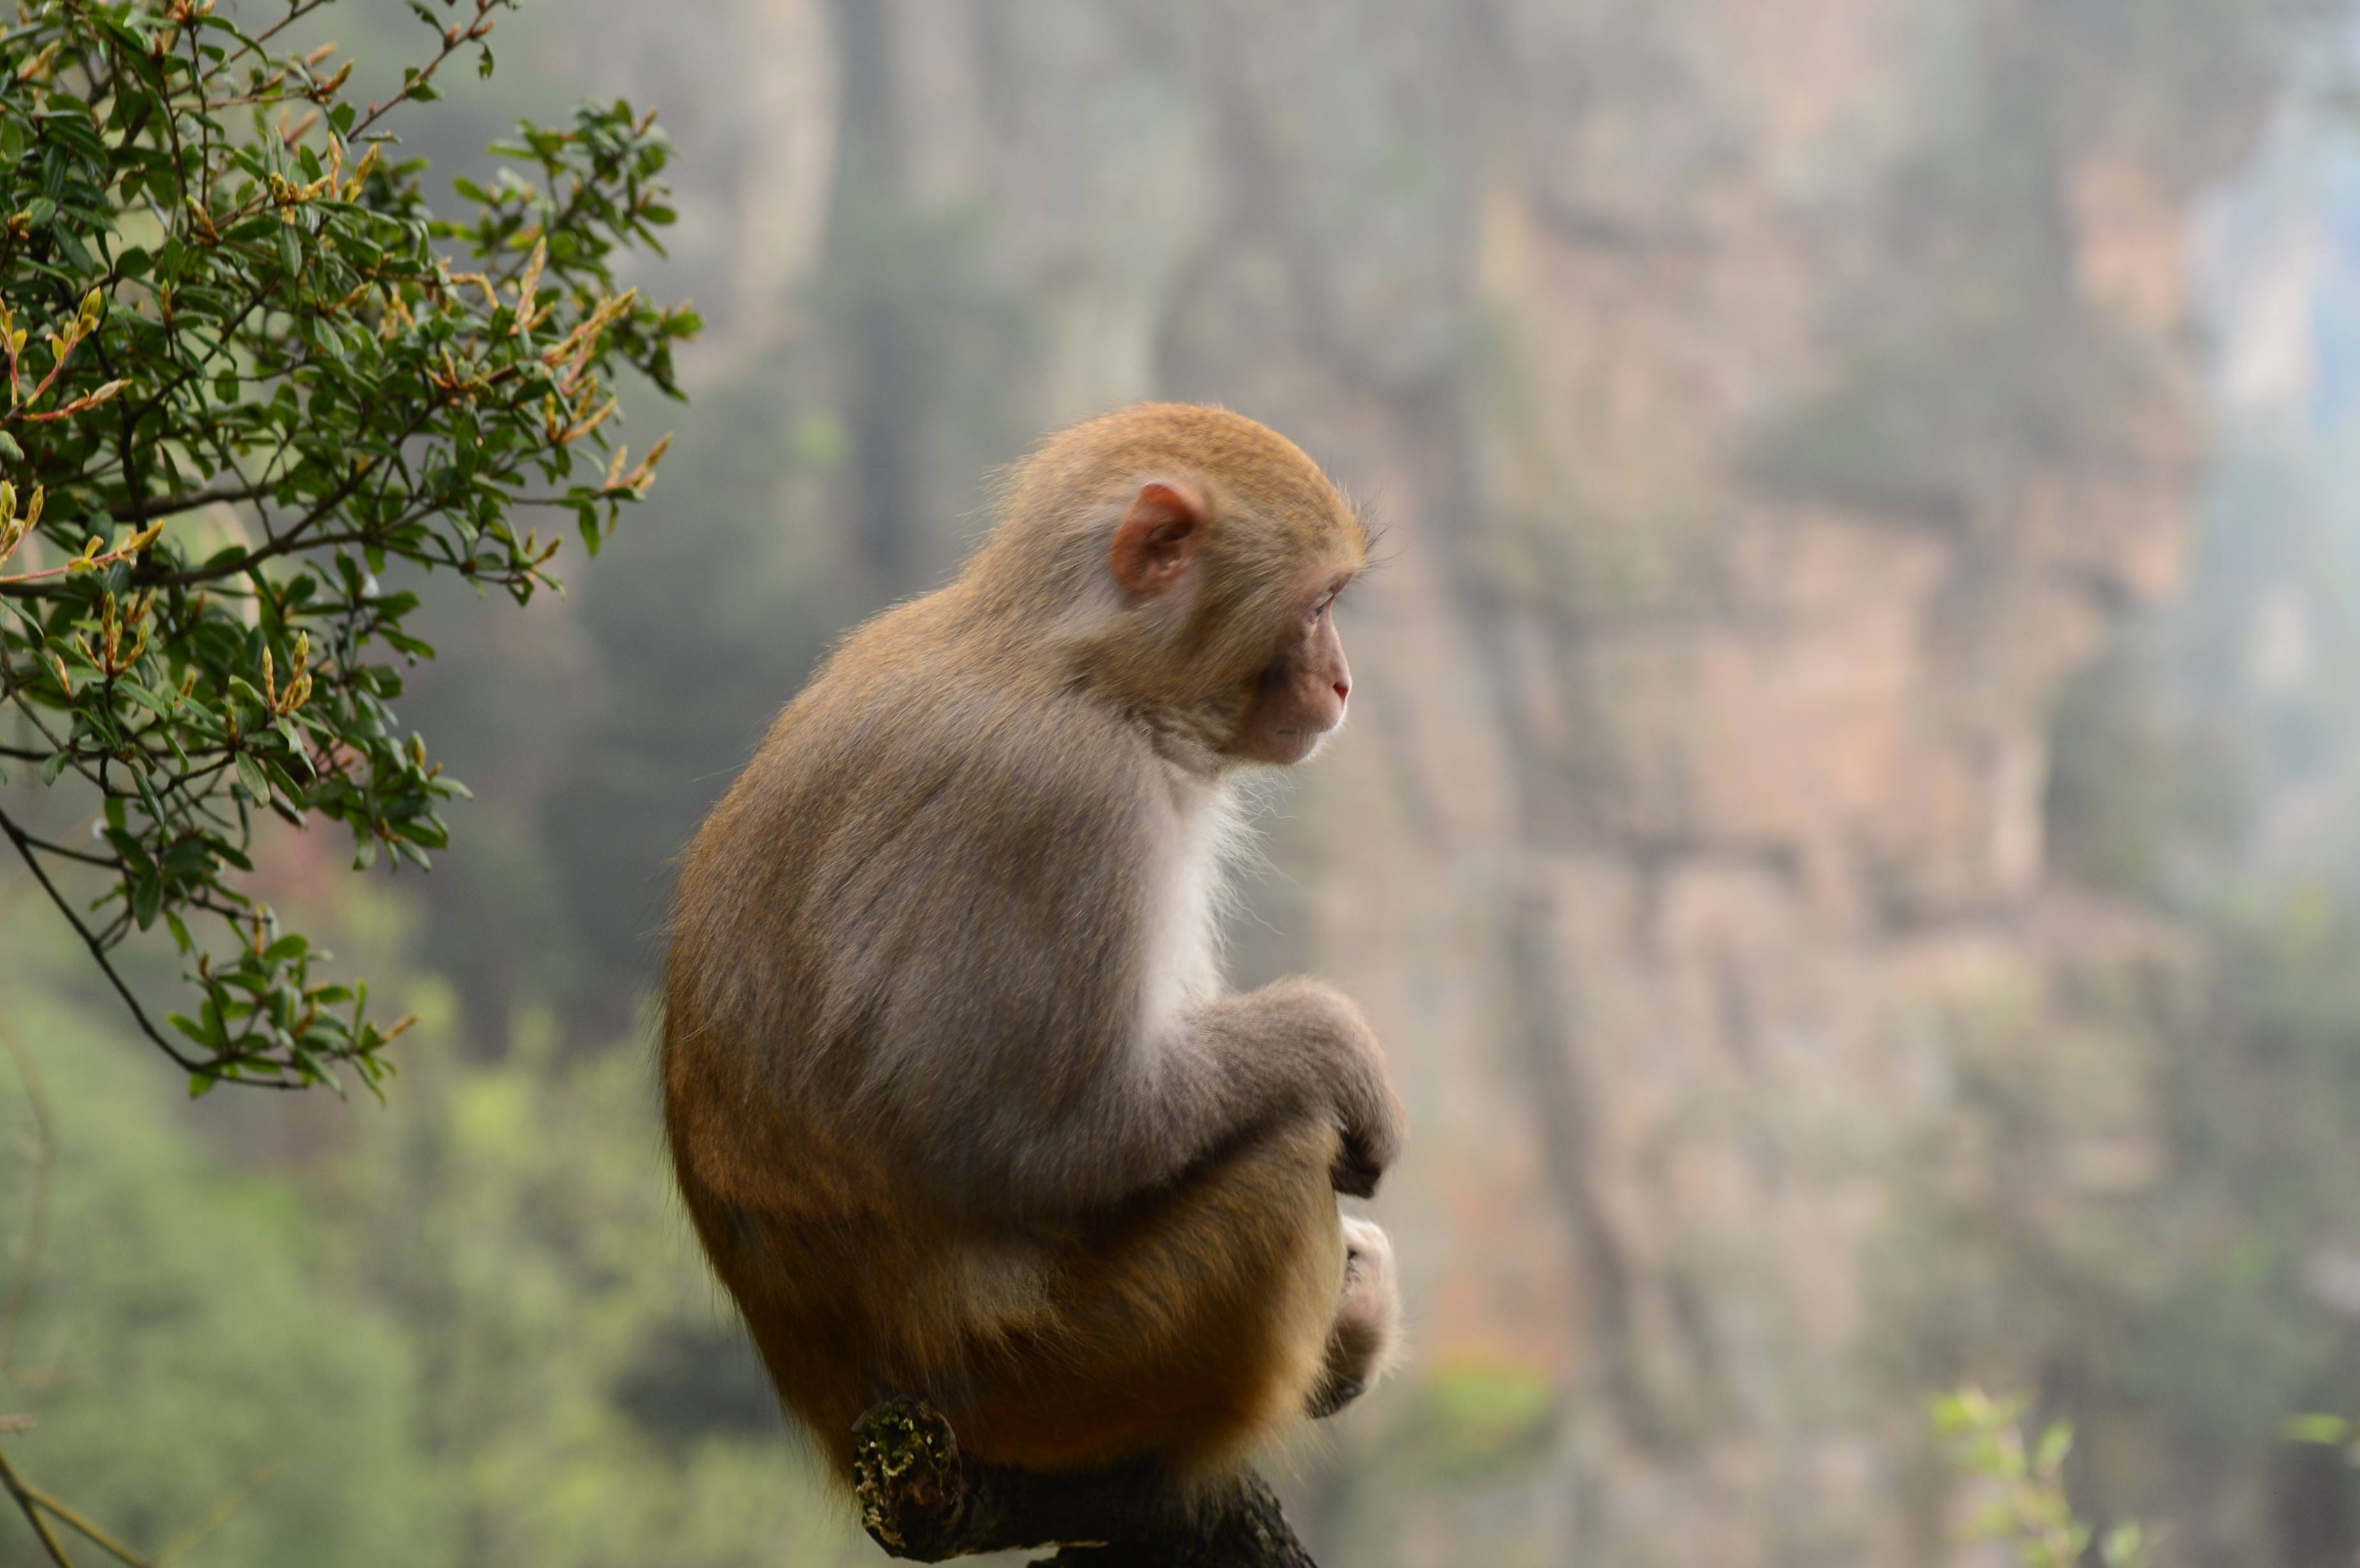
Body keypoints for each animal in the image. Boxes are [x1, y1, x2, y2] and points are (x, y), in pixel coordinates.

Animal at [665, 400, 1397, 1490]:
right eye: (1319, 607)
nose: (1342, 685)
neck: (1089, 672)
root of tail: (838, 1412)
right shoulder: (1068, 803)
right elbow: (1040, 1136)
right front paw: (1334, 1044)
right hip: (1067, 1376)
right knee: (1282, 1154)